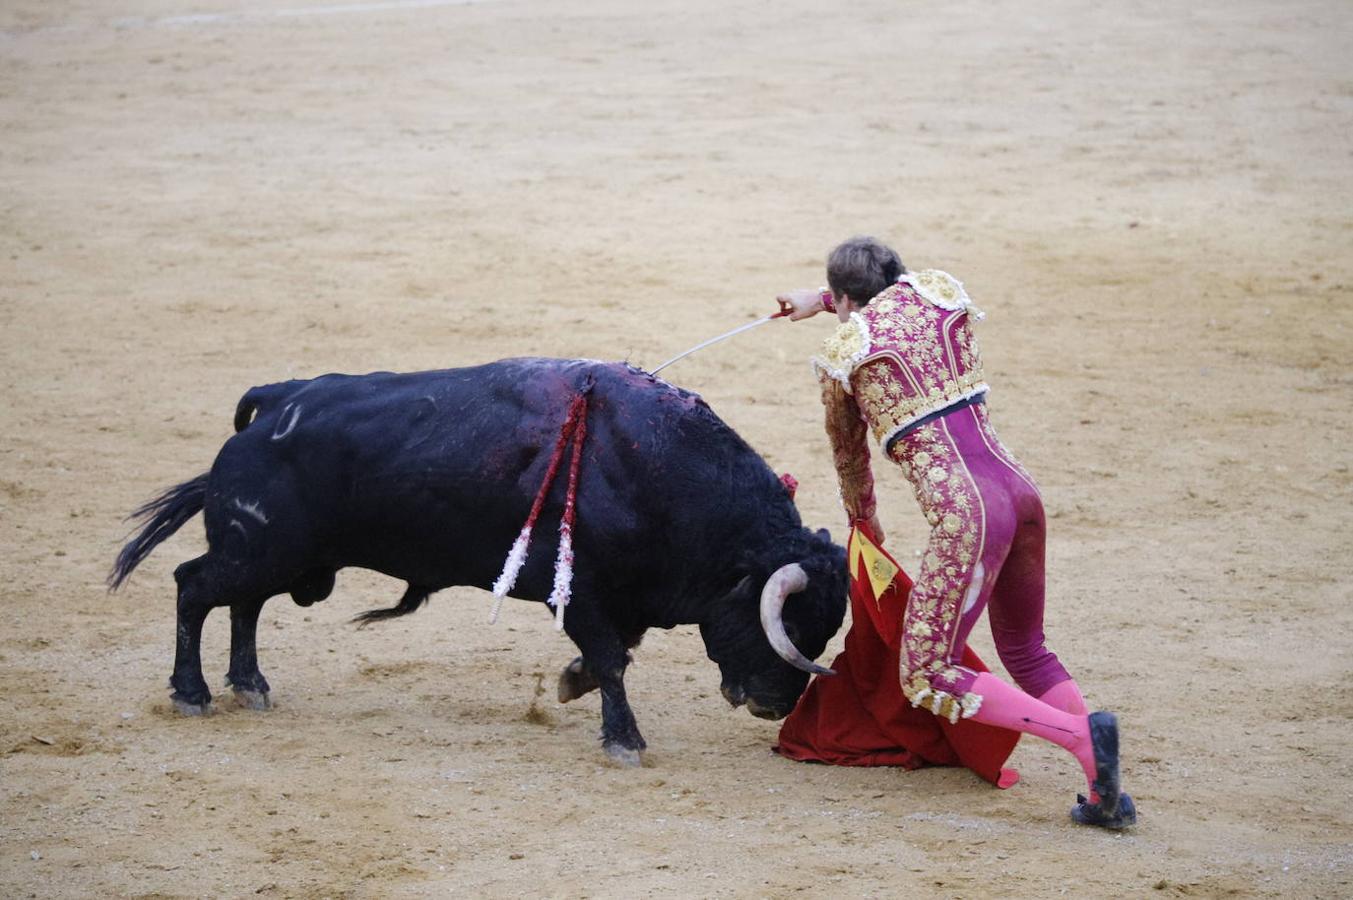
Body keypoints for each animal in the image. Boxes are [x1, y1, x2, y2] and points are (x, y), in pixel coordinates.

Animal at [108, 354, 844, 763]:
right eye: (785, 623)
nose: (775, 708)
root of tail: (275, 399)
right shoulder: (582, 591)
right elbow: (612, 659)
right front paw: (623, 742)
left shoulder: (621, 597)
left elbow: (611, 656)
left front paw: (570, 683)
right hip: (257, 550)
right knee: (194, 587)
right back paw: (194, 694)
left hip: (276, 557)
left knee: (244, 606)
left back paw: (250, 686)